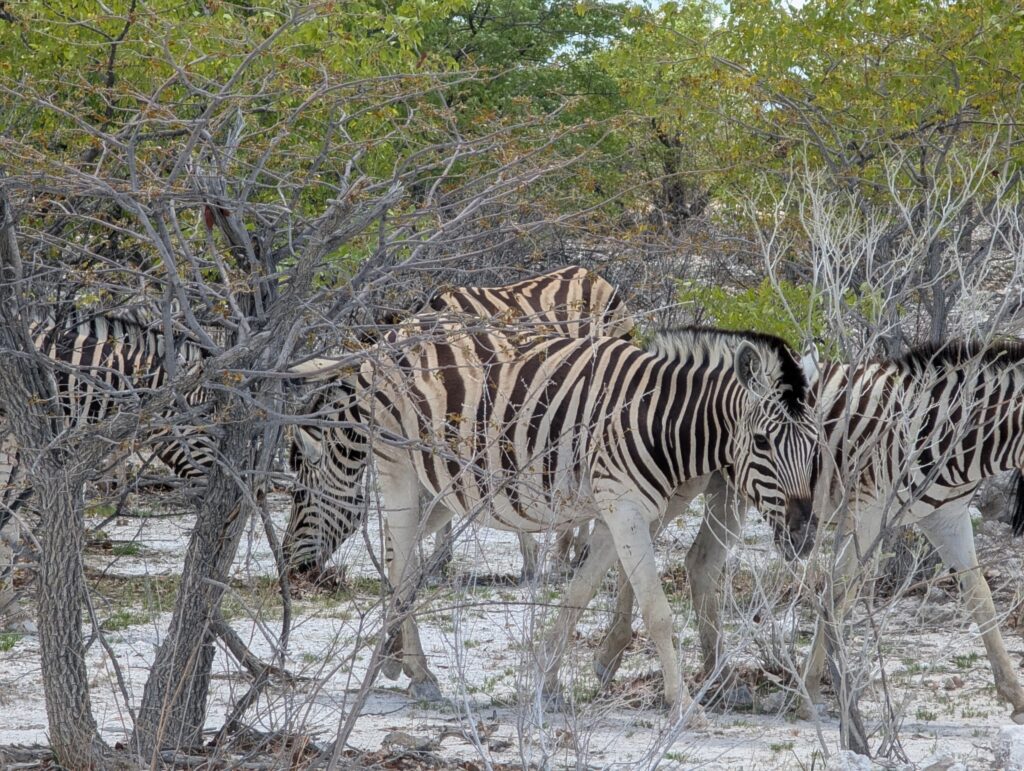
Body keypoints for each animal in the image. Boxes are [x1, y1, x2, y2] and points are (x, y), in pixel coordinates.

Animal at [282, 264, 630, 573]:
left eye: (300, 497)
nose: (289, 566)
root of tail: (589, 272)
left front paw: (529, 562)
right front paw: (438, 560)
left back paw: (570, 553)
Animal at [294, 321, 815, 712]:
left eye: (816, 444)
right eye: (763, 443)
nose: (804, 538)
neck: (661, 420)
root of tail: (385, 339)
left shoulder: (614, 511)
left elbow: (578, 595)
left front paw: (546, 681)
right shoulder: (625, 508)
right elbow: (659, 612)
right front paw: (682, 705)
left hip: (439, 482)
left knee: (398, 555)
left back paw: (393, 656)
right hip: (397, 464)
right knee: (402, 565)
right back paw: (420, 673)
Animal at [589, 341, 1024, 720]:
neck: (943, 431)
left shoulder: (947, 517)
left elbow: (980, 595)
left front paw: (1014, 693)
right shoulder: (867, 511)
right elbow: (838, 594)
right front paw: (810, 692)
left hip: (728, 491)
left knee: (698, 561)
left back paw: (720, 681)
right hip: (676, 481)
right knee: (630, 549)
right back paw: (611, 654)